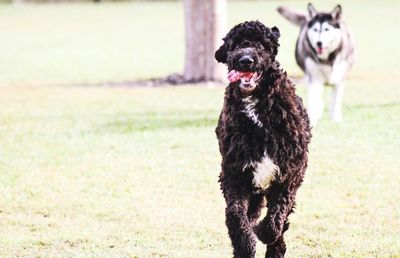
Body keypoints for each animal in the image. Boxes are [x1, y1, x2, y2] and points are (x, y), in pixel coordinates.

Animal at [216, 21, 312, 256]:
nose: (245, 60)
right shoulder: (234, 174)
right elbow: (236, 215)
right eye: (235, 45)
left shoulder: (290, 174)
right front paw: (245, 244)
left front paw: (263, 233)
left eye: (261, 45)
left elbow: (276, 218)